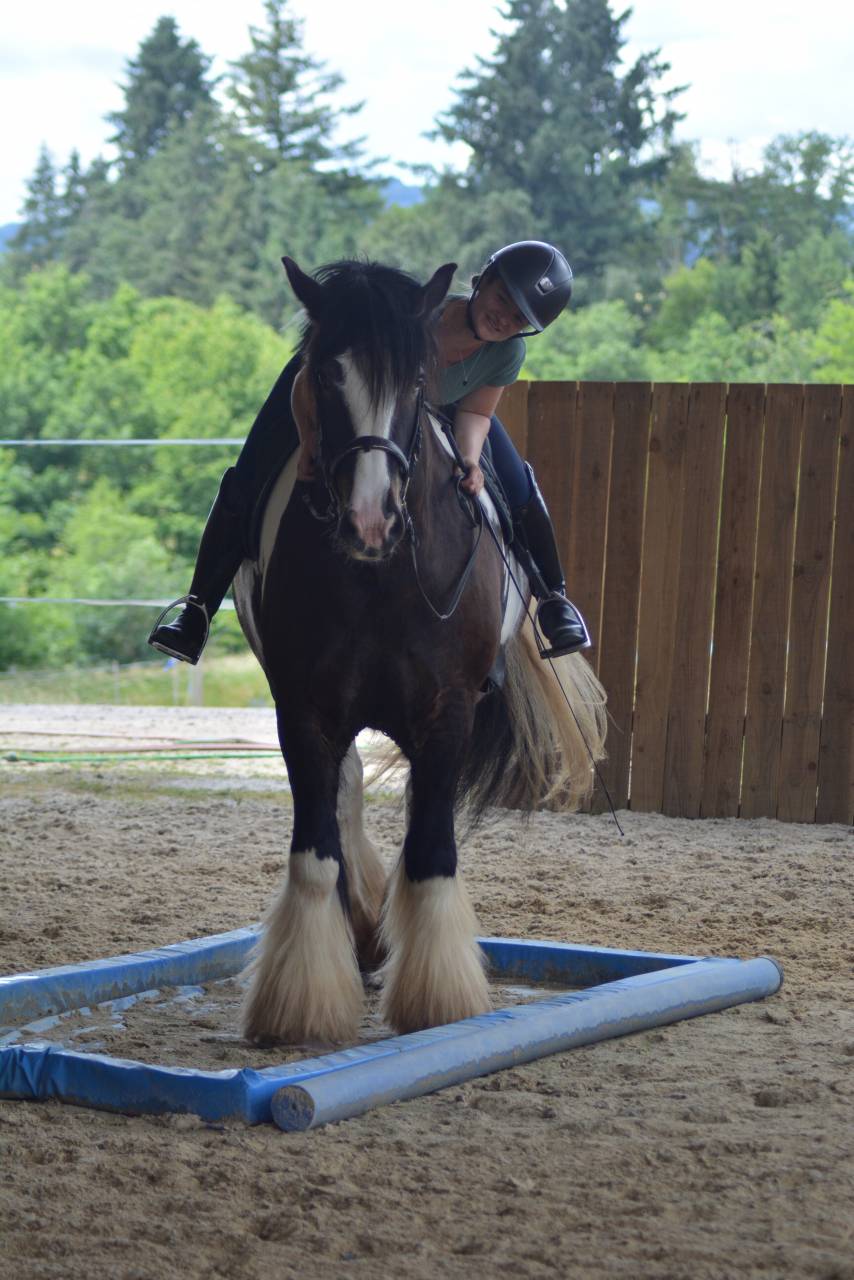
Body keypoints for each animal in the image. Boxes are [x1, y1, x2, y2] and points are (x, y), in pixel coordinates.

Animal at [232, 256, 607, 1045]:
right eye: (326, 371)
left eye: (415, 383)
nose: (371, 520)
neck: (381, 578)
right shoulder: (302, 710)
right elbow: (316, 852)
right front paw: (302, 1000)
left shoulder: (449, 710)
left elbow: (432, 851)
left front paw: (439, 1000)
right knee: (343, 804)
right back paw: (360, 935)